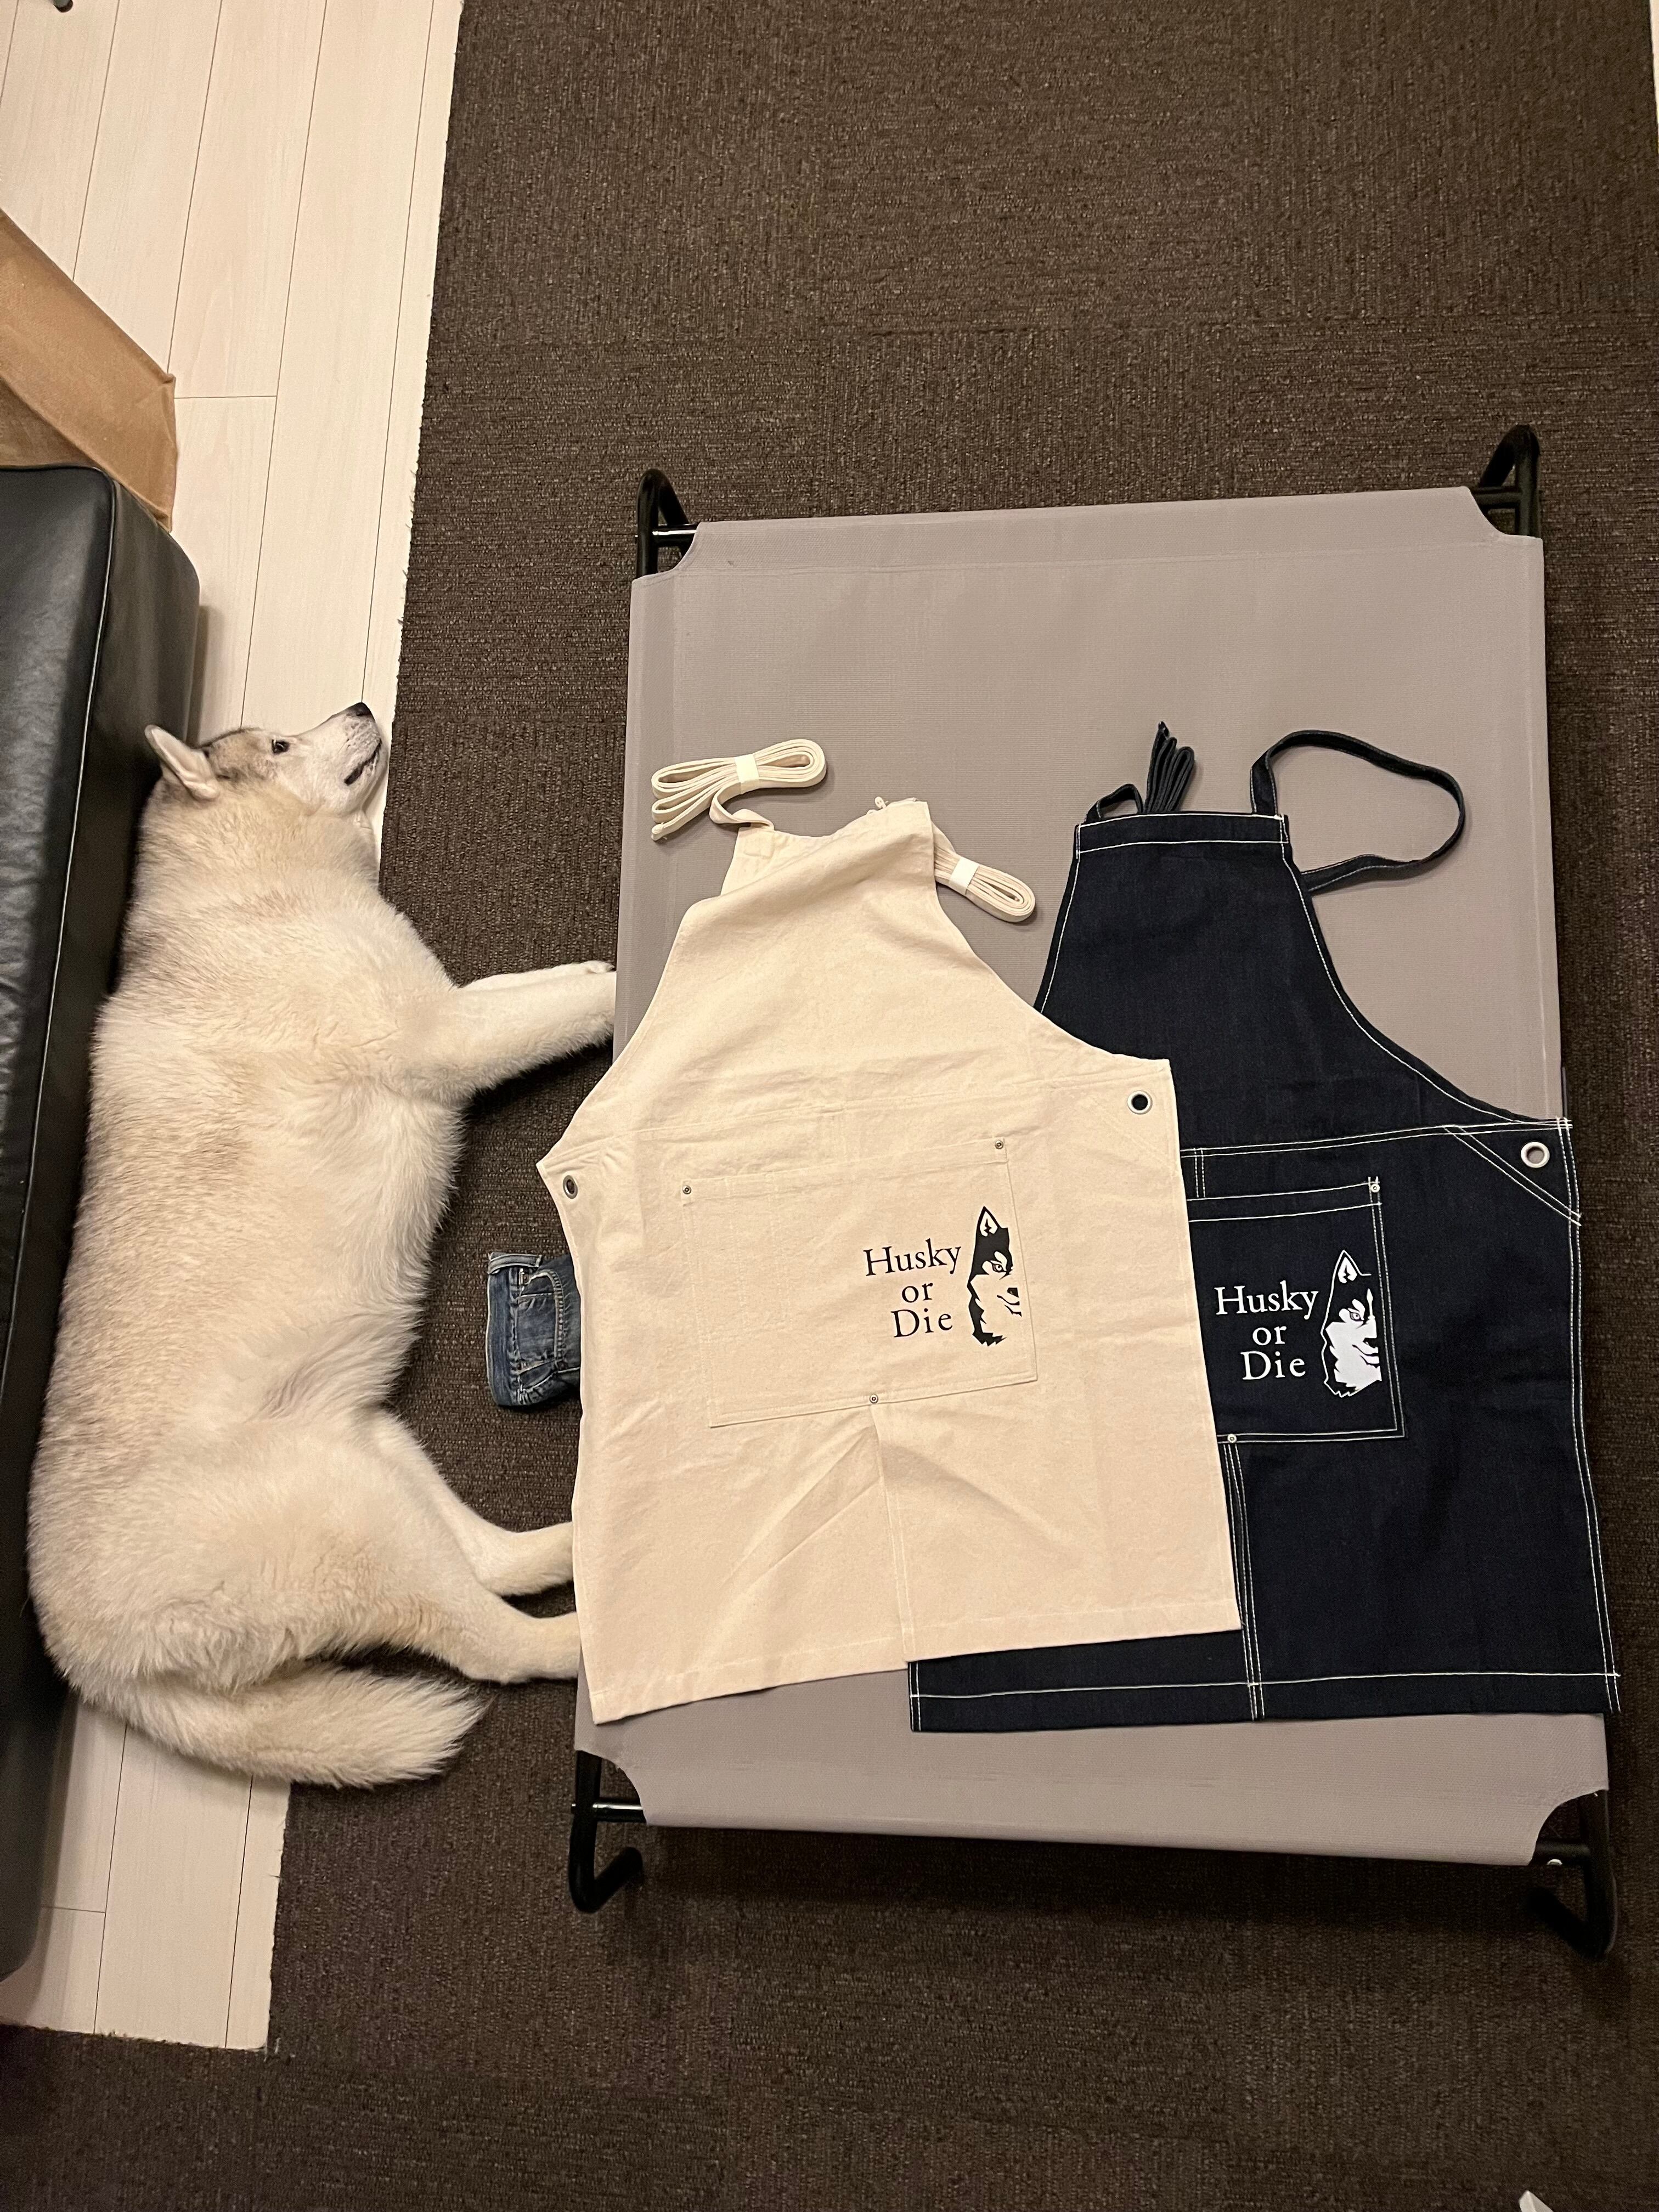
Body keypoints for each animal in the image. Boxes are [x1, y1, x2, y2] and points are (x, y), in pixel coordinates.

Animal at [28, 707, 615, 1787]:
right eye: (279, 747)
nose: (361, 708)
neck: (247, 891)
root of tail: (92, 1665)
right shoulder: (447, 1032)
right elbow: (566, 1005)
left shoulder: (455, 1001)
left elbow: (553, 983)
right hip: (360, 1528)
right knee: (497, 1646)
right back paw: (582, 1633)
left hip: (377, 1454)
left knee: (491, 1562)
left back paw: (568, 1545)